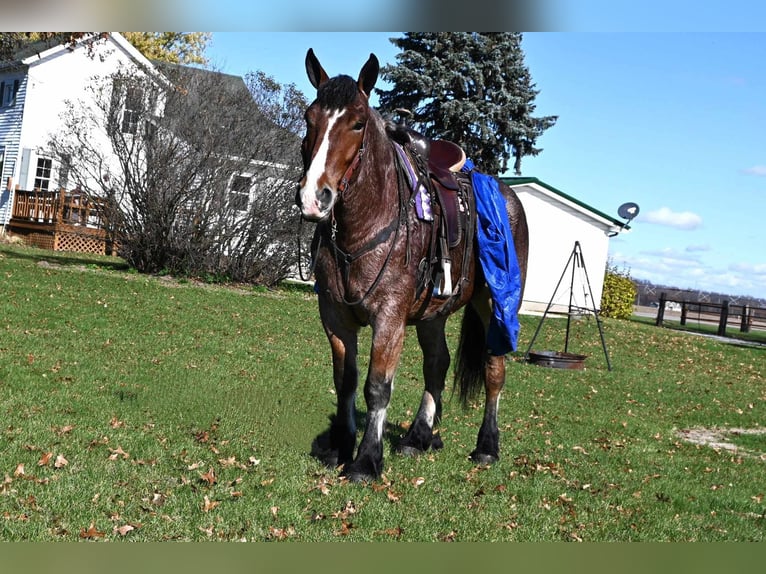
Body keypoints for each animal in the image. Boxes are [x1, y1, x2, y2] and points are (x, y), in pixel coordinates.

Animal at [296, 49, 528, 484]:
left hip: (494, 304)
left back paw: (487, 446)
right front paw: (341, 446)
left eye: (357, 123)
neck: (369, 219)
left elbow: (377, 387)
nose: (314, 198)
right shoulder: (335, 316)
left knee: (494, 370)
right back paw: (419, 436)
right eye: (309, 117)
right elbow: (345, 380)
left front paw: (366, 460)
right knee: (438, 363)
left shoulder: (389, 318)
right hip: (432, 313)